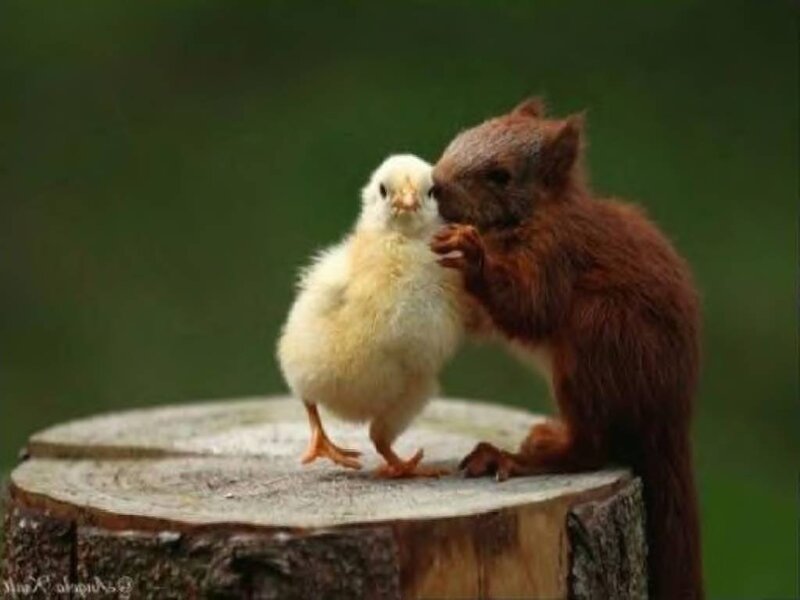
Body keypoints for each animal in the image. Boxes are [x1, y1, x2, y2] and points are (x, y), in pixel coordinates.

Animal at [430, 98, 703, 599]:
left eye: (501, 175)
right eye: (462, 135)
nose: (434, 184)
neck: (534, 216)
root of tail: (669, 412)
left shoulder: (556, 254)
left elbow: (530, 308)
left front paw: (472, 258)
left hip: (596, 340)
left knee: (591, 449)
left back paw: (515, 458)